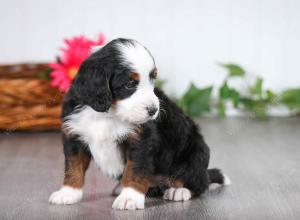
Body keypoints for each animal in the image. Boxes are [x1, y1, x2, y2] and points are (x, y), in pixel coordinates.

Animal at [48, 38, 230, 211]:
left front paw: (129, 198)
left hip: (196, 153)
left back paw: (179, 191)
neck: (108, 113)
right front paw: (68, 192)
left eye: (152, 78)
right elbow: (73, 167)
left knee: (199, 183)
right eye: (130, 84)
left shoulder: (141, 140)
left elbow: (135, 170)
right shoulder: (74, 136)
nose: (153, 110)